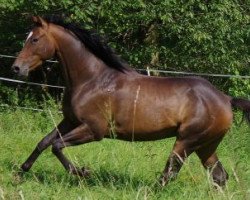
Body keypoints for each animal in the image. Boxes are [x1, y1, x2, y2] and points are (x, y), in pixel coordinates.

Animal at [11, 16, 250, 187]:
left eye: (34, 39)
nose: (16, 68)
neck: (92, 80)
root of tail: (225, 99)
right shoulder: (69, 121)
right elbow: (44, 142)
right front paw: (21, 171)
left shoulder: (94, 130)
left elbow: (57, 146)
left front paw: (83, 172)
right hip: (206, 144)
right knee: (219, 176)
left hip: (186, 141)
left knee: (169, 173)